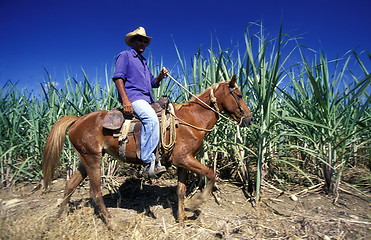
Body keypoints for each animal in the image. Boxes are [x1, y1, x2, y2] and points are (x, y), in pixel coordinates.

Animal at [42, 74, 253, 223]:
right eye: (239, 95)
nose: (250, 119)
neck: (191, 120)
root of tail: (77, 120)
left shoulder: (183, 162)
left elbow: (181, 190)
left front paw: (182, 218)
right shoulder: (184, 159)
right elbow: (211, 173)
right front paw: (197, 202)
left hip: (85, 159)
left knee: (70, 185)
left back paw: (59, 217)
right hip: (93, 159)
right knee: (95, 193)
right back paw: (112, 224)